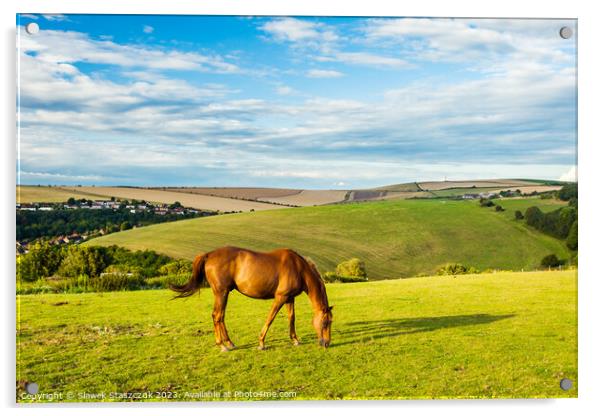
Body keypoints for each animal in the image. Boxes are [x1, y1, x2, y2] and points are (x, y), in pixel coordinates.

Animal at [169, 247, 332, 352]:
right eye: (326, 322)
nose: (327, 343)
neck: (298, 268)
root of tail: (209, 255)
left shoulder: (289, 298)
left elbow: (291, 318)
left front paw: (295, 340)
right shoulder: (280, 297)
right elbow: (270, 318)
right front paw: (261, 343)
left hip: (224, 294)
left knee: (221, 317)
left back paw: (229, 343)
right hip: (221, 293)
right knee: (217, 315)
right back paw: (222, 345)